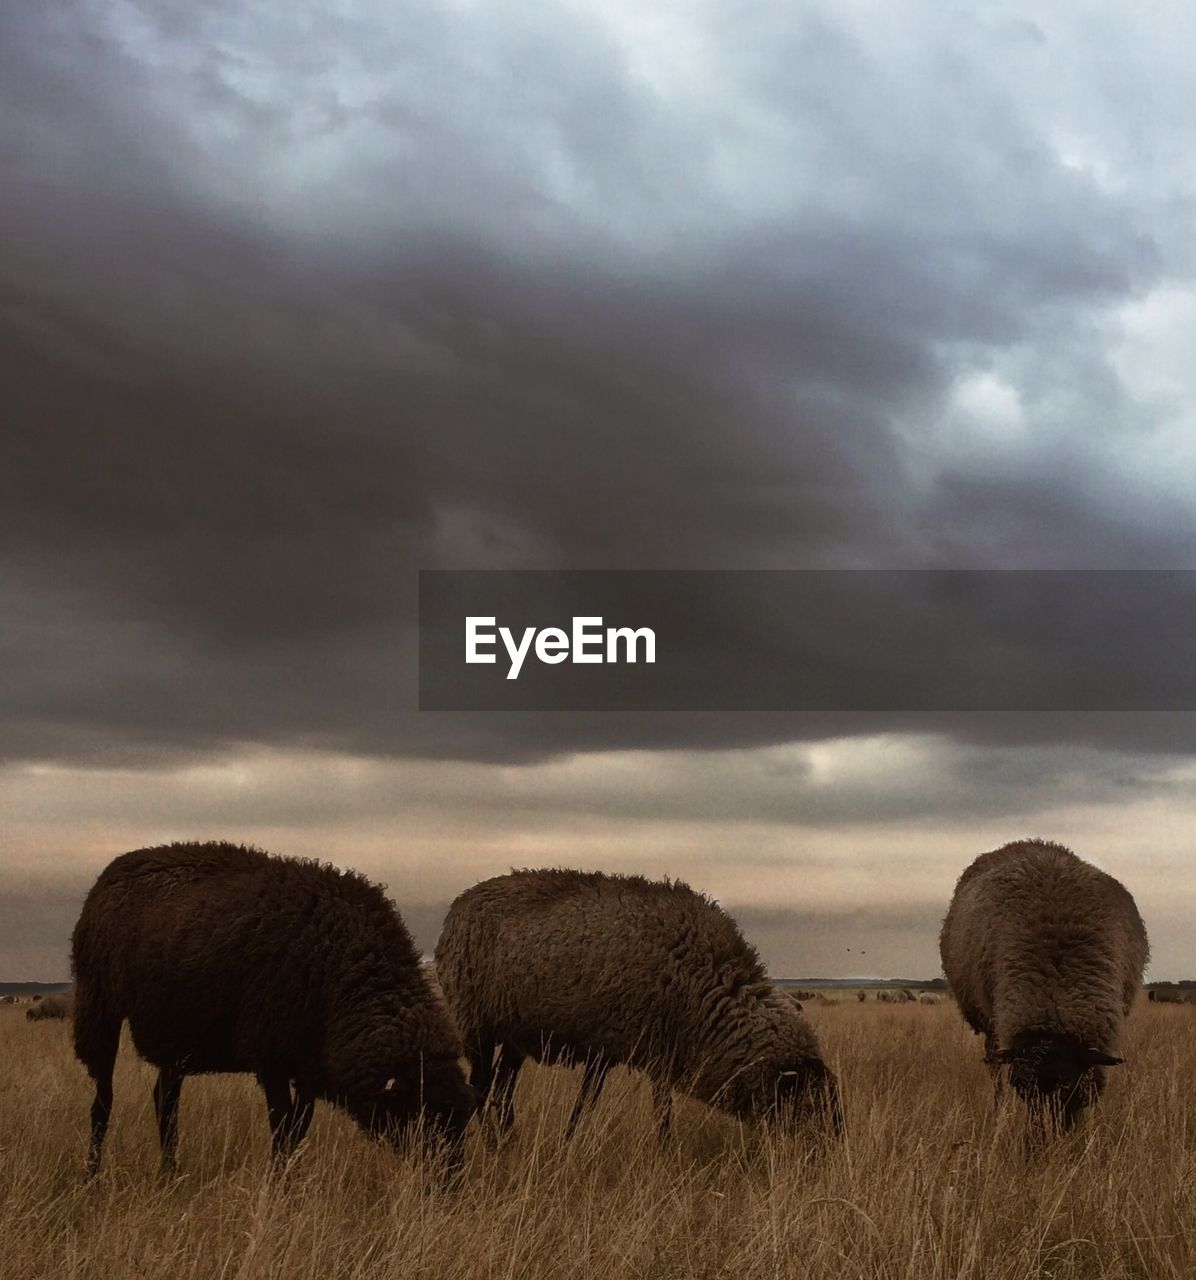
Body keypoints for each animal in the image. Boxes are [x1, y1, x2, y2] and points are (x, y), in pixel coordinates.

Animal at [70, 844, 476, 1172]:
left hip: (176, 1036)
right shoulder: (272, 1059)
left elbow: (299, 1128)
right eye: (423, 1114)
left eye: (461, 1121)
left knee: (164, 1101)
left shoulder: (309, 1065)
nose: (450, 1184)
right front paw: (280, 1184)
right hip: (98, 1008)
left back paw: (170, 1174)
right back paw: (93, 1177)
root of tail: (112, 870)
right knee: (102, 1103)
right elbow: (282, 1128)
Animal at [432, 870, 845, 1141]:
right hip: (477, 1027)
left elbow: (596, 1104)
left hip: (515, 1038)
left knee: (502, 1093)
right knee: (481, 1089)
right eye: (809, 1101)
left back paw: (510, 1142)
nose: (831, 1154)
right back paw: (491, 1144)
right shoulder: (630, 1049)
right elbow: (638, 1111)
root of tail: (457, 905)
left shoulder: (628, 1052)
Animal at [942, 839, 1147, 1131]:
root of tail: (1027, 842)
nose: (1040, 1139)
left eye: (1067, 1085)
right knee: (994, 1069)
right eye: (1021, 1088)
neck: (1055, 992)